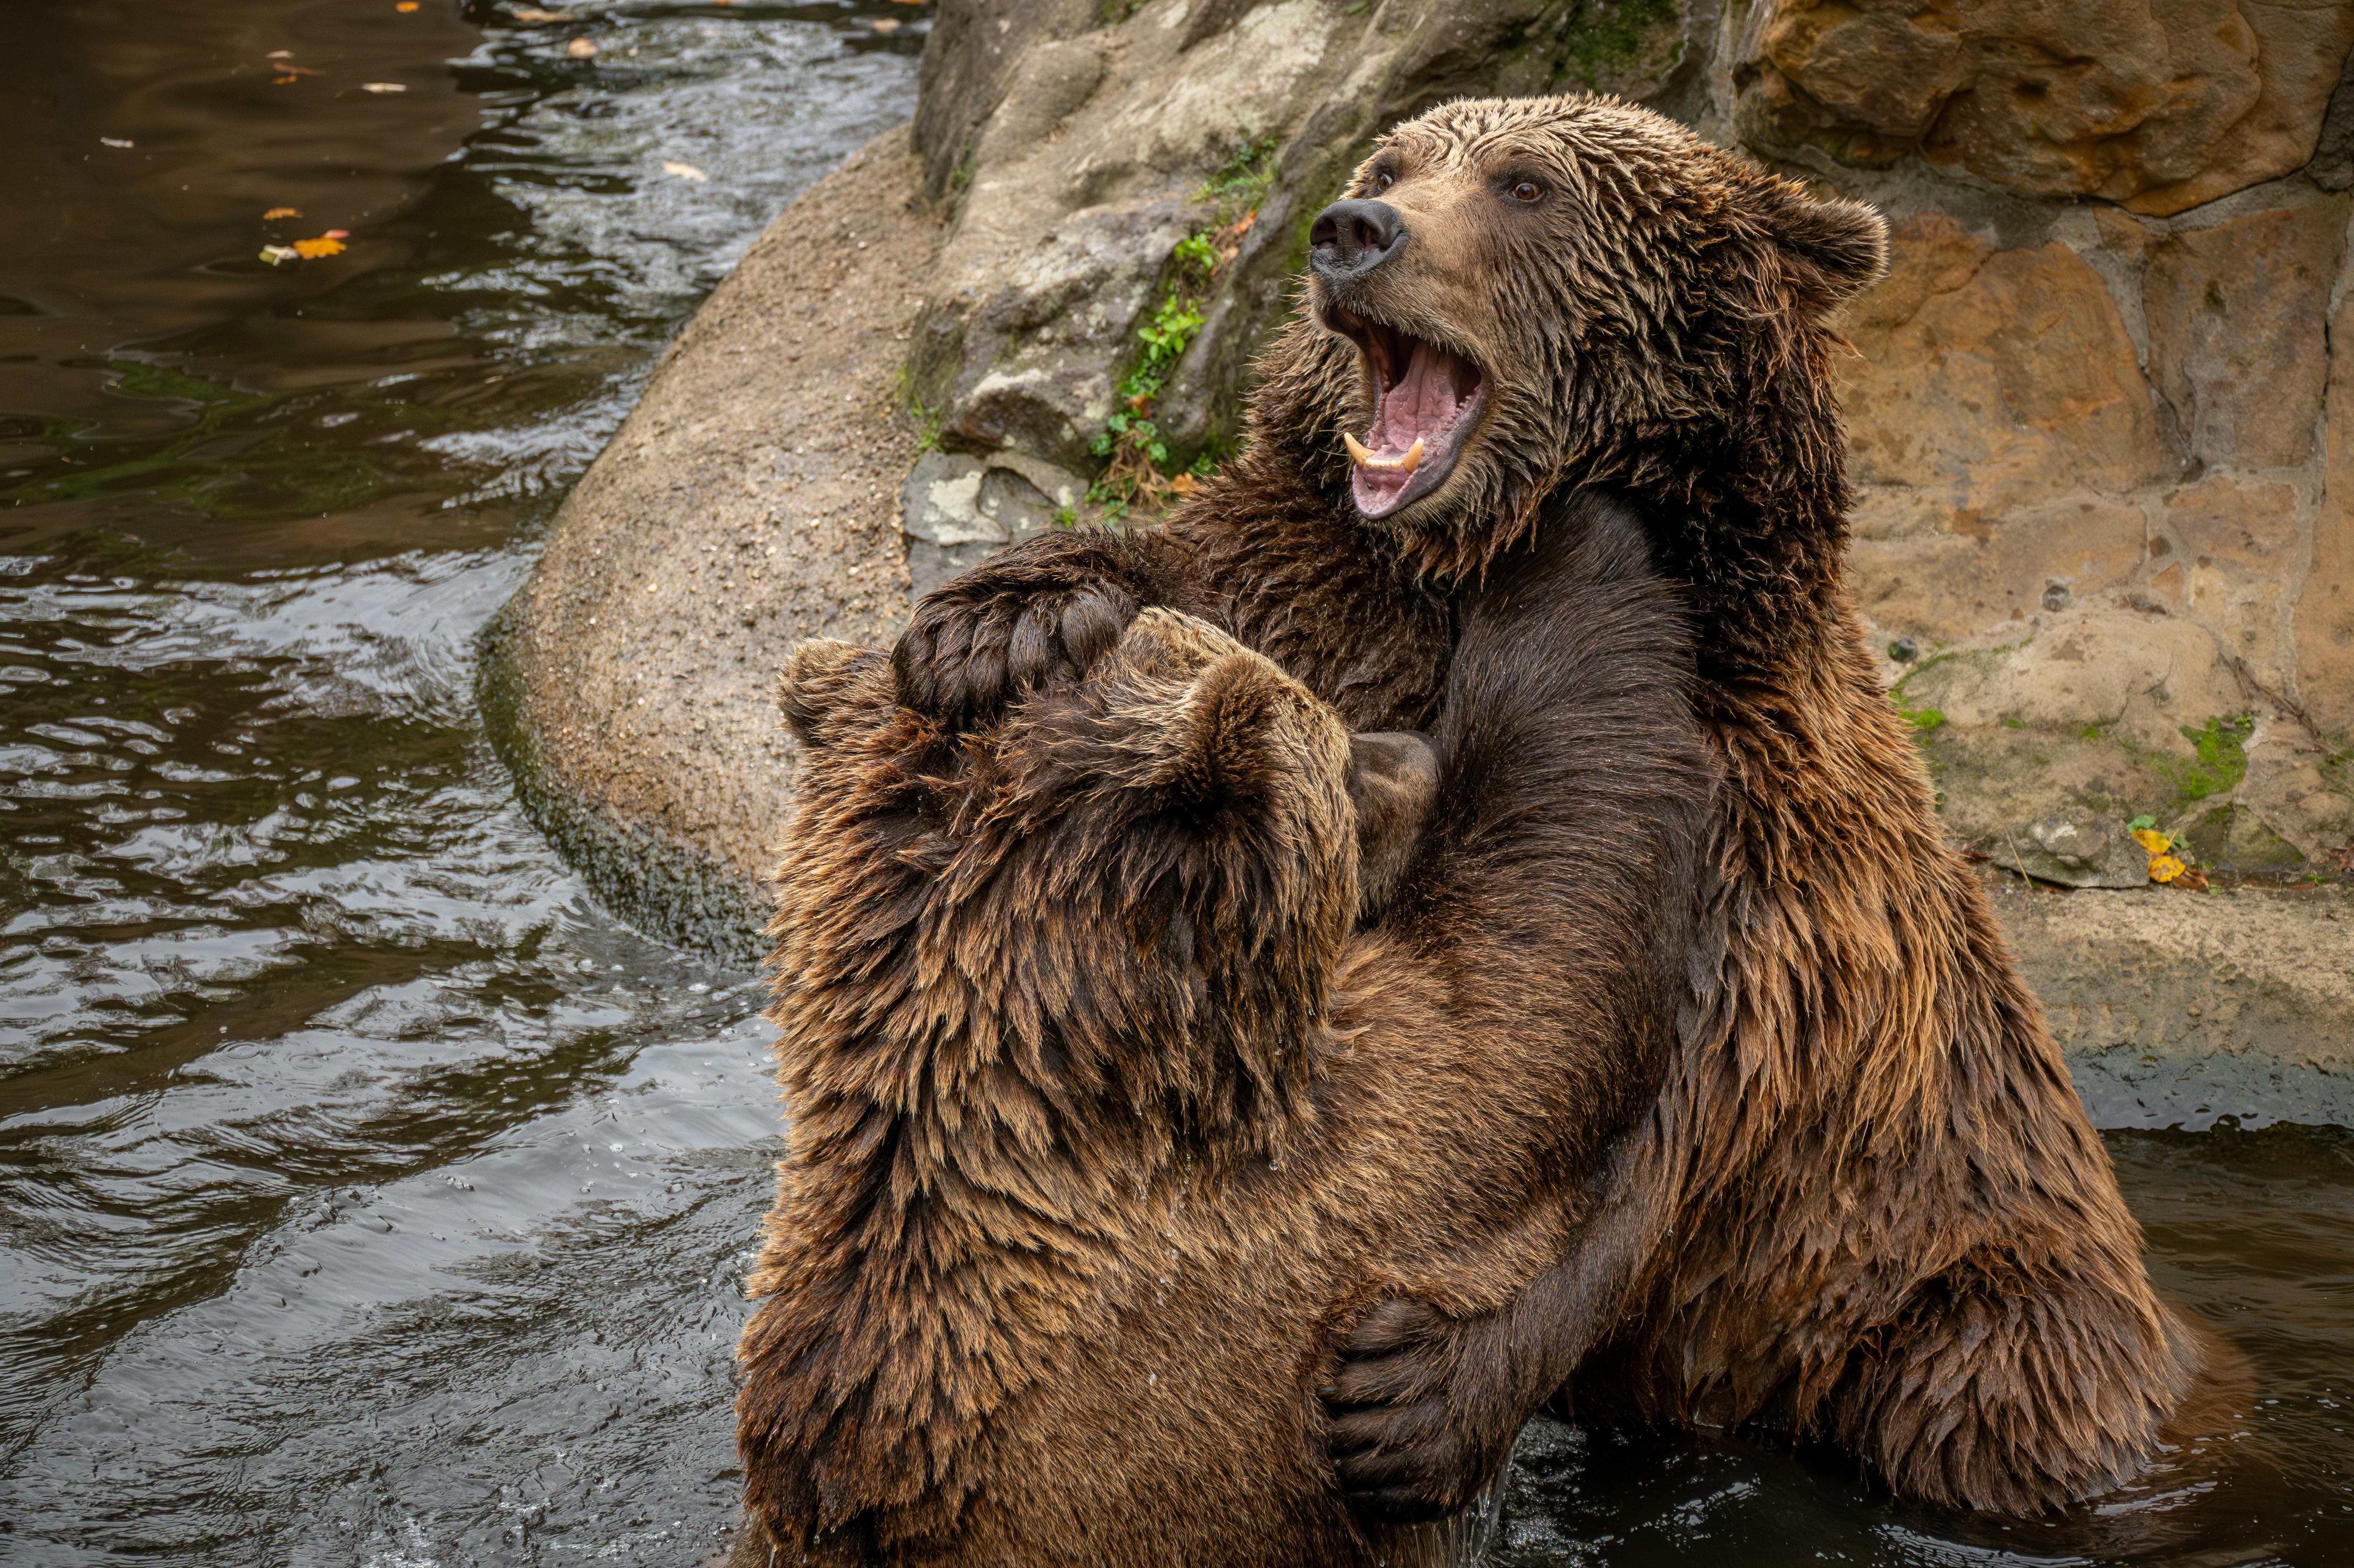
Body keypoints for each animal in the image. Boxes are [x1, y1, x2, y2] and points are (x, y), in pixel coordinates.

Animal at [883, 93, 2223, 1520]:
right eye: (1391, 161)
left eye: (1527, 186)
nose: (1354, 231)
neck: (1470, 558)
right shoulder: (1335, 597)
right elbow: (1215, 593)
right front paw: (990, 624)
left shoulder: (1757, 841)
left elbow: (1664, 1128)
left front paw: (1416, 1394)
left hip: (1965, 1294)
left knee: (1974, 1380)